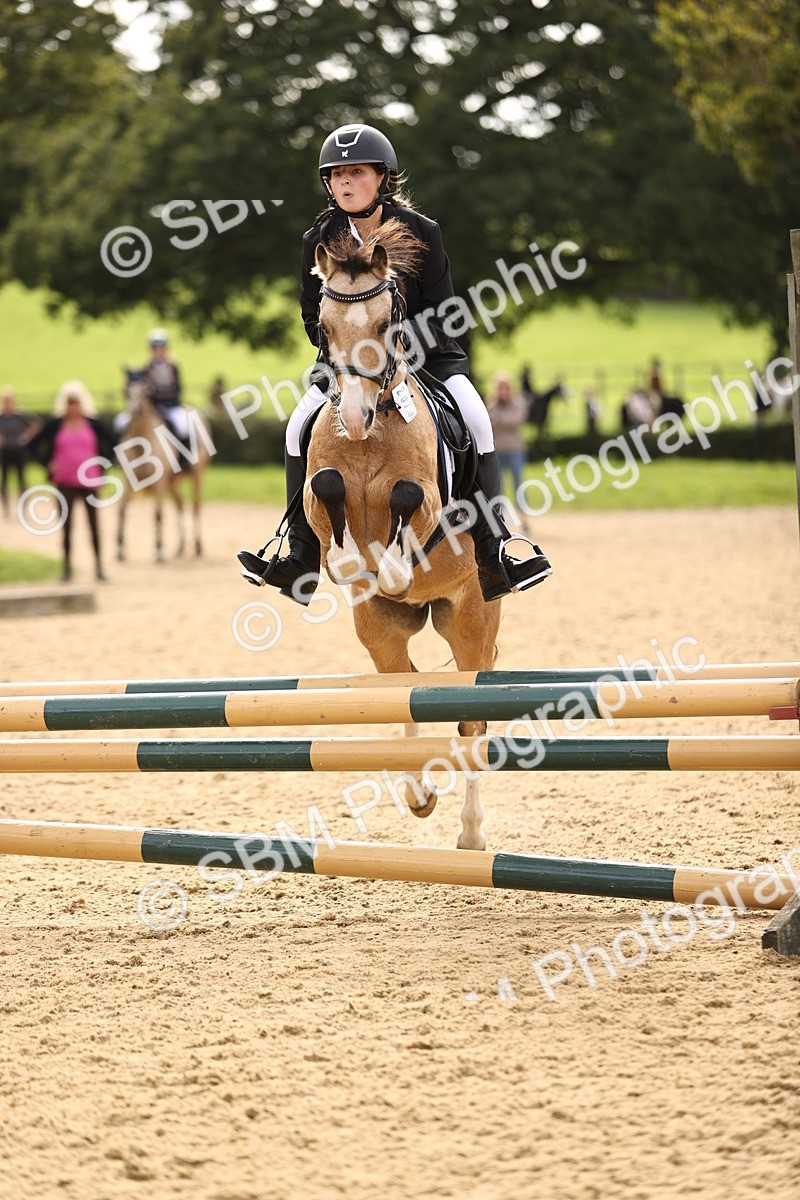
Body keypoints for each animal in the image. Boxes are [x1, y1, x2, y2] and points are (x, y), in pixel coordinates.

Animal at [115, 369, 212, 562]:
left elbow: (157, 513)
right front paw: (120, 550)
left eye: (144, 390)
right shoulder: (130, 482)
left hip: (196, 477)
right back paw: (180, 547)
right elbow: (122, 510)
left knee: (195, 507)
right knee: (180, 505)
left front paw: (158, 550)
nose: (134, 410)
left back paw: (198, 547)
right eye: (126, 389)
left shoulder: (159, 484)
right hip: (172, 483)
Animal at [303, 220, 502, 852]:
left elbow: (408, 498)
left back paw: (471, 833)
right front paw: (353, 565)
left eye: (386, 323)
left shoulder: (431, 504)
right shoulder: (319, 493)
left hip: (471, 623)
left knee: (470, 722)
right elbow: (328, 490)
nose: (354, 416)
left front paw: (389, 567)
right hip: (381, 632)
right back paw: (417, 793)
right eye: (325, 326)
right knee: (404, 689)